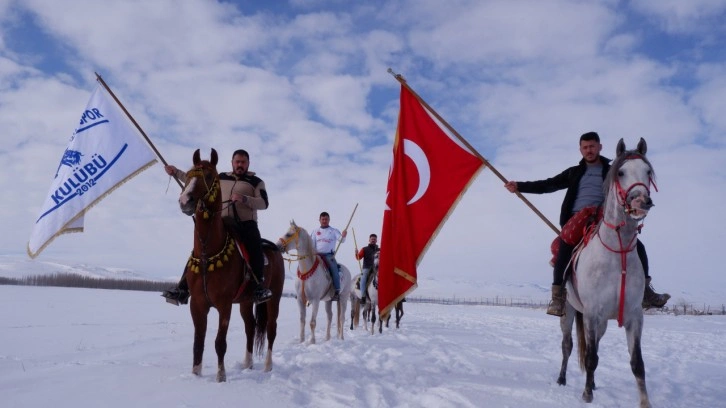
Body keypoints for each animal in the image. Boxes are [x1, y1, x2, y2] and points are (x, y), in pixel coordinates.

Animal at [178, 148, 286, 380]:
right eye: (189, 174)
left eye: (209, 176)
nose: (185, 200)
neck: (207, 252)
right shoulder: (197, 304)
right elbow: (198, 342)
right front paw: (195, 375)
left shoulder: (224, 305)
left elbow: (220, 342)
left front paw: (221, 376)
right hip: (246, 301)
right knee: (251, 327)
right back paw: (248, 364)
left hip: (274, 298)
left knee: (271, 329)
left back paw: (267, 366)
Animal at [560, 138, 656, 408]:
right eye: (621, 172)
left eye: (647, 171)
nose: (640, 201)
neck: (617, 253)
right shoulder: (592, 313)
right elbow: (590, 358)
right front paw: (586, 395)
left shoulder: (634, 317)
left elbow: (637, 364)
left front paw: (645, 402)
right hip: (570, 312)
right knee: (568, 345)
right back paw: (562, 379)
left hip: (601, 322)